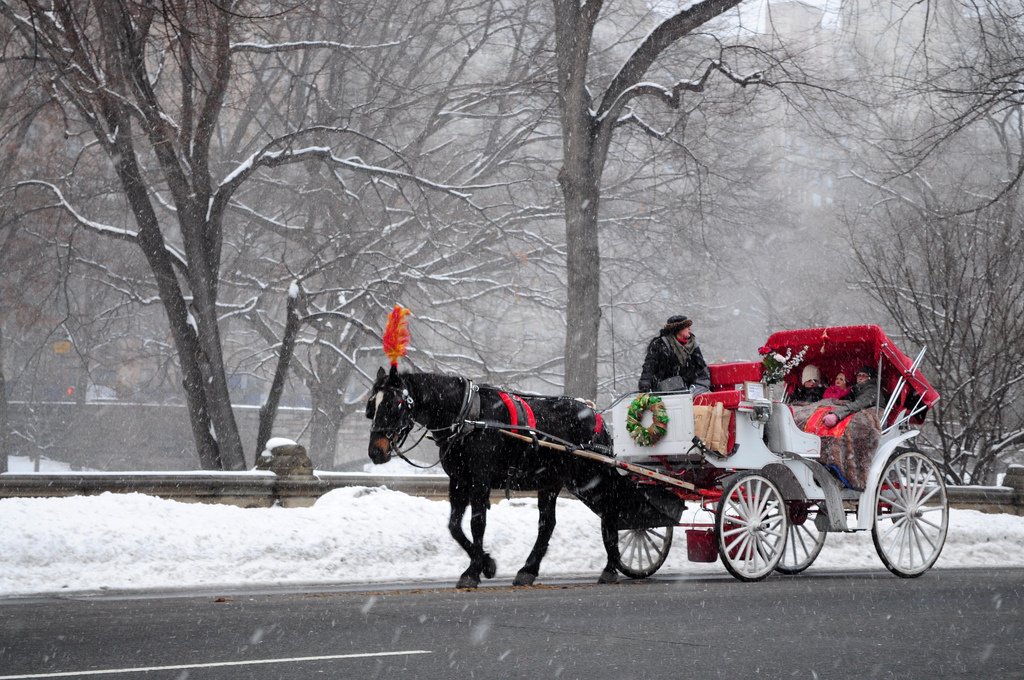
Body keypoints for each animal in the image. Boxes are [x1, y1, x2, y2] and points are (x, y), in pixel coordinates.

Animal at [368, 368, 630, 585]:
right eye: (372, 407)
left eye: (394, 405)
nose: (375, 452)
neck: (469, 417)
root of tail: (595, 414)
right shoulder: (459, 479)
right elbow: (454, 526)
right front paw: (486, 563)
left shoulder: (480, 479)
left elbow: (477, 523)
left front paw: (473, 572)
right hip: (553, 481)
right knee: (548, 524)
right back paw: (528, 570)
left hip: (590, 479)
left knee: (610, 511)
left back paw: (611, 567)